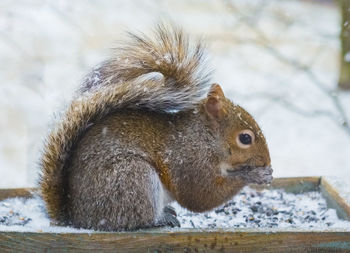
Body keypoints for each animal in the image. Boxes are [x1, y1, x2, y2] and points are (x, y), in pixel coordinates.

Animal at [39, 24, 274, 231]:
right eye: (245, 138)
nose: (266, 162)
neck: (205, 138)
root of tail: (77, 218)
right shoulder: (188, 160)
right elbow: (199, 196)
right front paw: (255, 175)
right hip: (132, 178)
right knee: (135, 218)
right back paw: (159, 220)